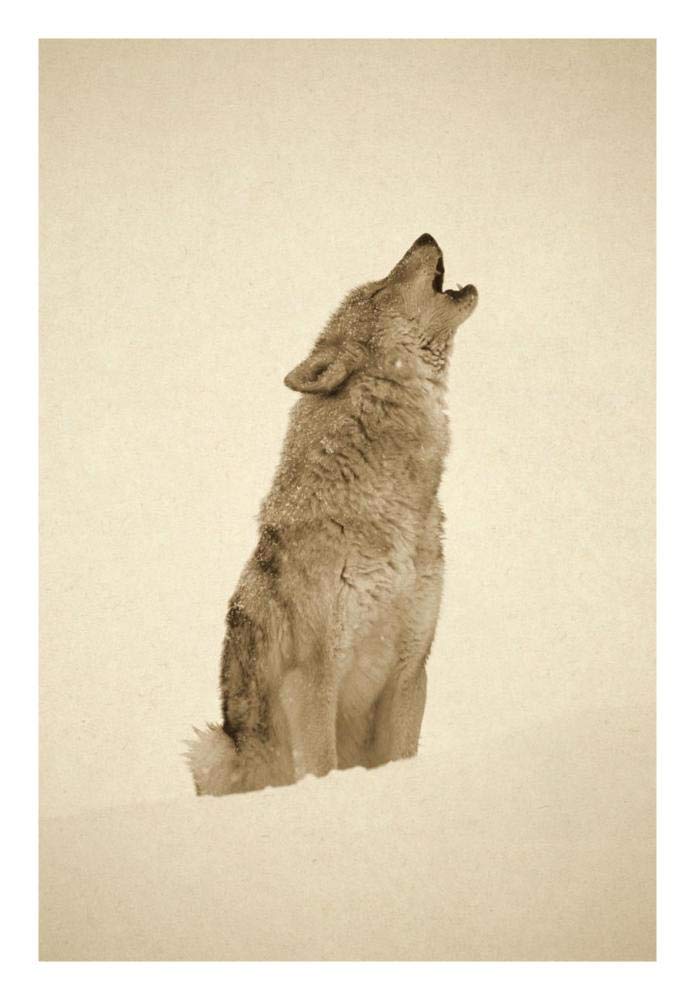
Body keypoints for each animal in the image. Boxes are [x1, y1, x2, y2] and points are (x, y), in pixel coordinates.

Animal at [187, 234, 477, 795]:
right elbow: (320, 764)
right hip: (212, 748)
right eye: (379, 289)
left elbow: (401, 754)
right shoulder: (312, 678)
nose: (425, 236)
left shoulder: (411, 669)